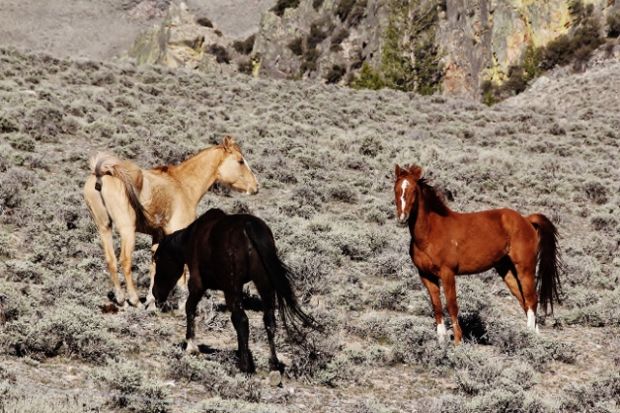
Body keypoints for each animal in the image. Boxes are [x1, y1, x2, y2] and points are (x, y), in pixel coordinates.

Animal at [83, 135, 258, 306]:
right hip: (127, 230)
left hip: (104, 227)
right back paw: (134, 300)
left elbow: (154, 265)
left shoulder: (158, 236)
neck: (182, 185)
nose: (256, 187)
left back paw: (120, 298)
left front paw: (152, 299)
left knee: (111, 260)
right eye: (240, 161)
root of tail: (101, 174)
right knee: (125, 261)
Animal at [151, 208, 320, 372]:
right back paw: (273, 365)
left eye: (157, 258)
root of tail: (248, 226)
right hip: (263, 283)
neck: (192, 237)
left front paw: (191, 346)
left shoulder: (197, 285)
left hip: (232, 288)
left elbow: (190, 308)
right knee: (269, 320)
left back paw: (244, 367)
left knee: (241, 320)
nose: (155, 294)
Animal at [394, 163, 564, 342]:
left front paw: (458, 341)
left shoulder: (447, 273)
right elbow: (437, 306)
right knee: (523, 299)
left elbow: (452, 305)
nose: (402, 217)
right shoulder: (426, 275)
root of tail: (526, 219)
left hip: (525, 268)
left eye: (413, 190)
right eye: (396, 188)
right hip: (506, 270)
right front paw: (441, 341)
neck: (430, 233)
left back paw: (529, 335)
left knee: (531, 299)